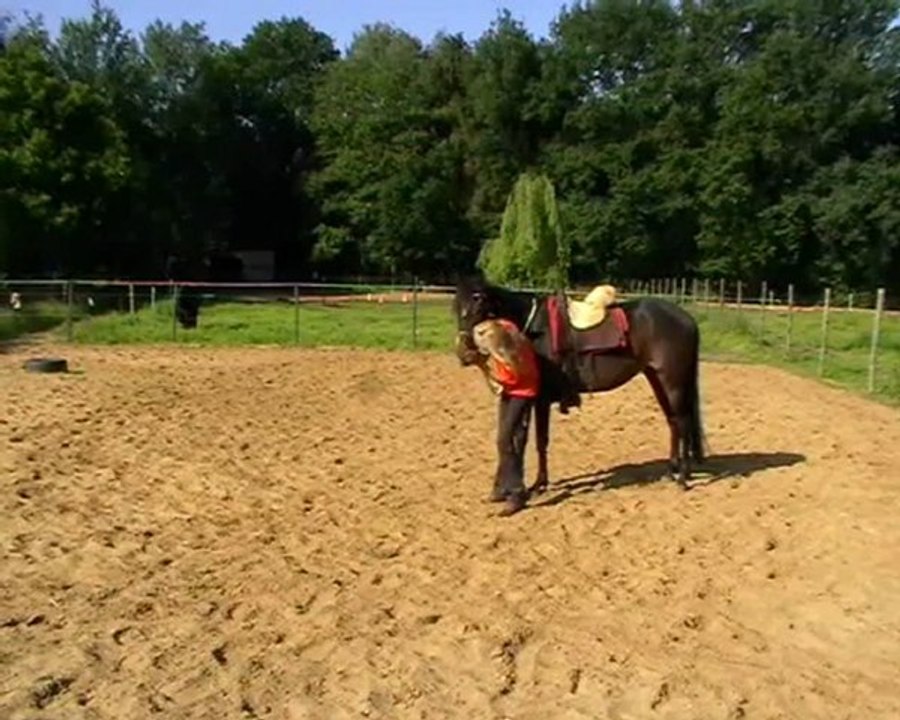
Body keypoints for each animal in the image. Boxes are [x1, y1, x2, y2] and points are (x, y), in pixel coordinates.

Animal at [453, 274, 706, 514]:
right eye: (456, 307)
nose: (464, 352)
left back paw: (683, 478)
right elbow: (523, 439)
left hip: (672, 382)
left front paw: (538, 485)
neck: (532, 330)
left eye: (479, 301)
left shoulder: (540, 398)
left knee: (683, 421)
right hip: (656, 378)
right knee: (673, 421)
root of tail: (686, 319)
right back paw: (671, 471)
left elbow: (538, 441)